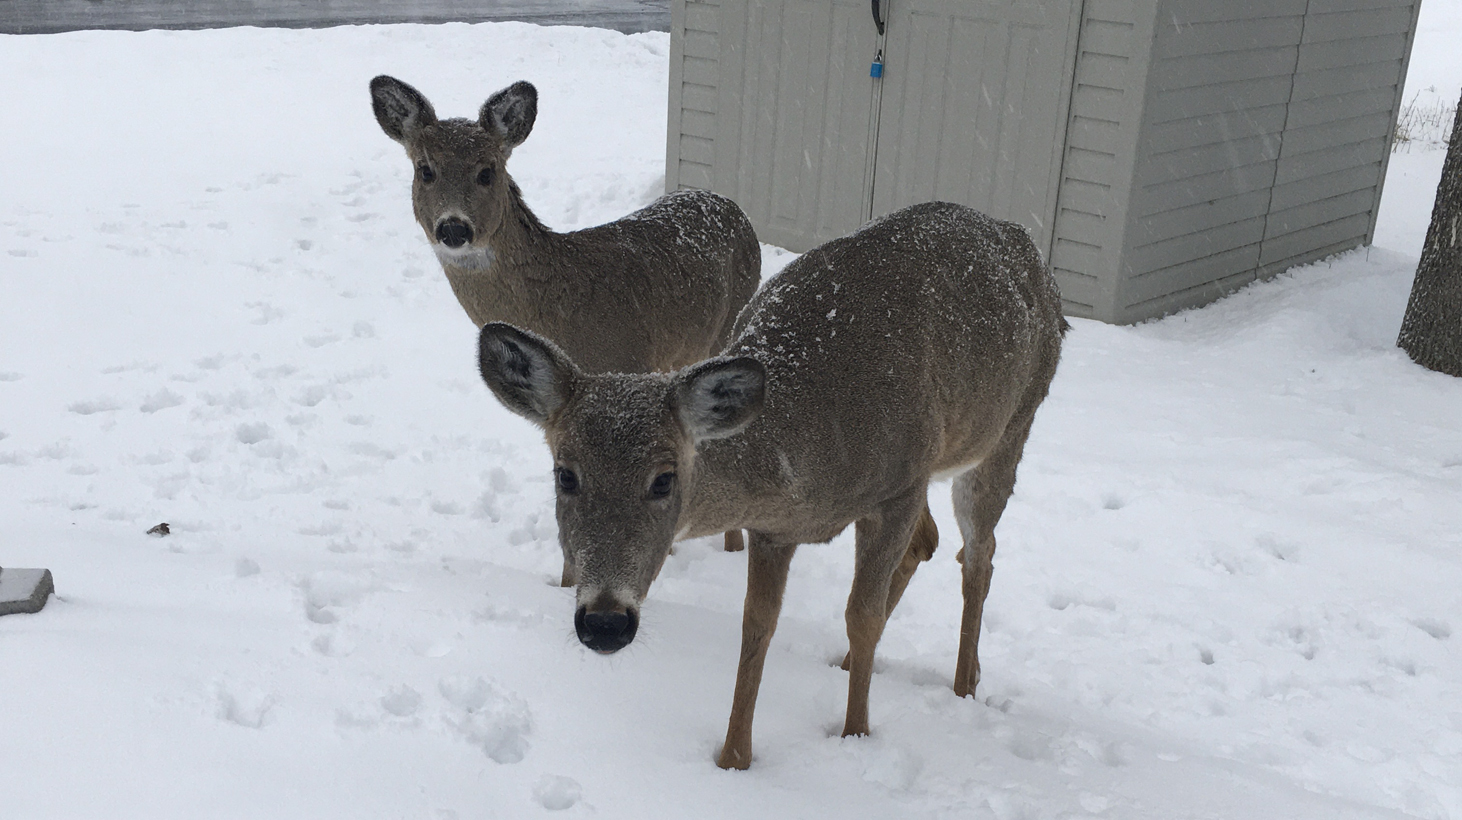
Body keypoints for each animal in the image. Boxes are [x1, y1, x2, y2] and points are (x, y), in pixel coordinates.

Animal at [370, 75, 761, 569]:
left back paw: (731, 546)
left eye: (487, 171)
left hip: (733, 318)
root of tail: (734, 207)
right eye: (425, 169)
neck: (561, 312)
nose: (454, 228)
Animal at [476, 201, 1068, 769]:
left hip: (1008, 428)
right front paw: (734, 759)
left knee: (979, 554)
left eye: (664, 479)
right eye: (565, 473)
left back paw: (965, 686)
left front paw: (855, 737)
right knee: (931, 541)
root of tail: (1033, 257)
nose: (604, 622)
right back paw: (851, 664)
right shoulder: (773, 529)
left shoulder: (898, 485)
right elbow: (757, 626)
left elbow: (861, 616)